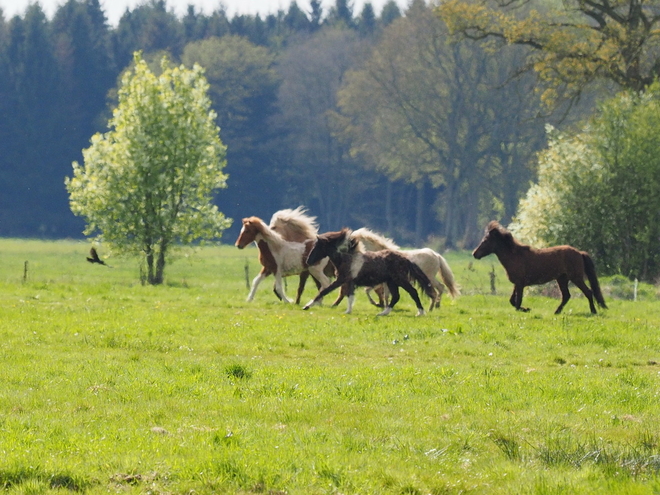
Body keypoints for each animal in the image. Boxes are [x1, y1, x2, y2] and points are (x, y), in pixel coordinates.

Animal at [302, 230, 436, 318]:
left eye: (317, 246)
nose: (308, 261)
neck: (346, 258)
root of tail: (405, 259)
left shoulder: (341, 280)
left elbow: (324, 291)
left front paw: (307, 306)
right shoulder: (350, 282)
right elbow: (350, 296)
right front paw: (348, 311)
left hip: (400, 280)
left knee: (412, 292)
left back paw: (420, 312)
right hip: (391, 282)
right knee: (396, 296)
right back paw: (383, 313)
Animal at [472, 223, 604, 316]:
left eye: (485, 241)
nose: (474, 254)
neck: (514, 256)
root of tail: (580, 253)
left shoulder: (520, 283)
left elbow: (518, 302)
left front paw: (526, 309)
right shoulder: (517, 283)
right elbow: (512, 301)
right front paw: (526, 309)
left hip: (575, 278)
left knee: (588, 292)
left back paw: (593, 311)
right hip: (562, 279)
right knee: (566, 296)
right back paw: (557, 312)